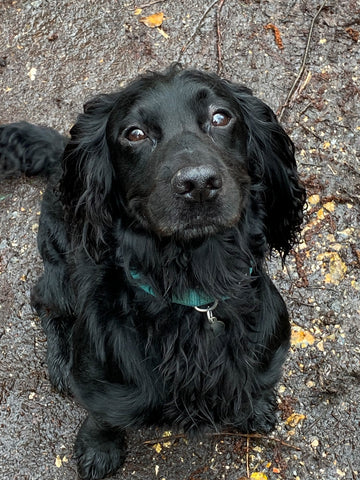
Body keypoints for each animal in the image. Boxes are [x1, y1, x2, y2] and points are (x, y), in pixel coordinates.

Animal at [0, 66, 306, 480]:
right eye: (135, 133)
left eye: (220, 117)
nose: (198, 184)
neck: (194, 290)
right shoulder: (106, 388)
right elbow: (103, 417)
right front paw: (99, 448)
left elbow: (254, 386)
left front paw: (255, 406)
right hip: (62, 271)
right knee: (43, 300)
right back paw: (61, 358)